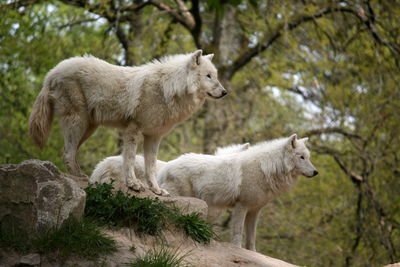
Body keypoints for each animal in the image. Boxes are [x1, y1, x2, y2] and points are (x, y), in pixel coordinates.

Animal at [29, 50, 227, 197]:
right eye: (208, 76)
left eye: (215, 76)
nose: (225, 92)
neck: (167, 88)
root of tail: (52, 72)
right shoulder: (133, 130)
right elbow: (130, 159)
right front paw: (133, 184)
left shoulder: (154, 136)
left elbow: (151, 167)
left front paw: (156, 190)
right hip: (78, 122)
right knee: (67, 153)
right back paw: (81, 178)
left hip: (89, 127)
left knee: (69, 152)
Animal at [158, 135, 318, 252]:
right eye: (301, 157)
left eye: (308, 157)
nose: (316, 172)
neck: (265, 168)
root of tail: (165, 167)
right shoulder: (241, 206)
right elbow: (238, 231)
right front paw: (237, 248)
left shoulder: (255, 211)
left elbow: (251, 237)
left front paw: (253, 253)